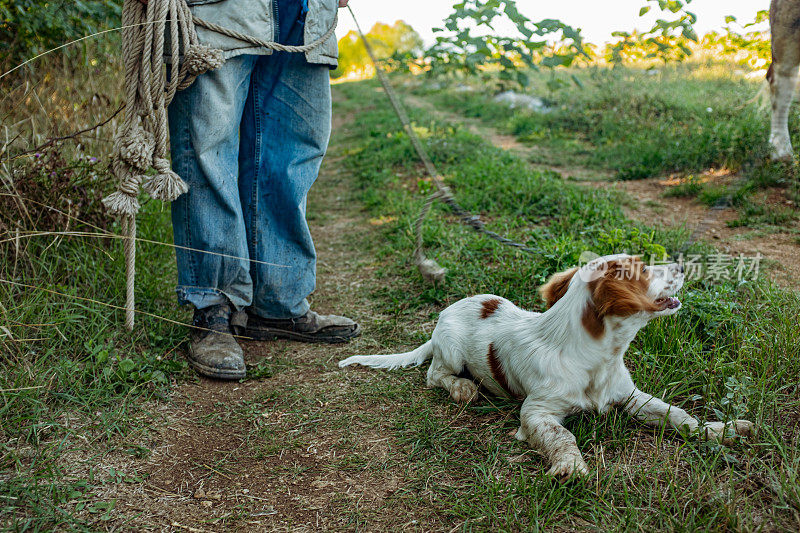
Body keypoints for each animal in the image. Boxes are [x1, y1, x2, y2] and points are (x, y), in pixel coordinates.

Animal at [340, 254, 752, 478]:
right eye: (643, 269)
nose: (682, 264)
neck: (597, 359)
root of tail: (444, 315)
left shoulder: (630, 396)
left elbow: (676, 414)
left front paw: (720, 430)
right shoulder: (536, 412)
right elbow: (562, 435)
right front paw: (570, 465)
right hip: (452, 351)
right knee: (433, 375)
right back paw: (462, 387)